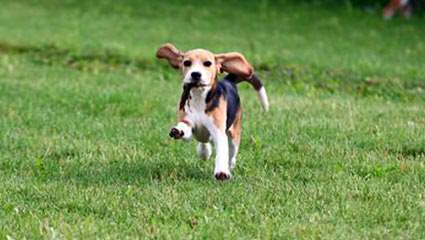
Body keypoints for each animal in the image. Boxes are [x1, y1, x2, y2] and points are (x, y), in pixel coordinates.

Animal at [156, 43, 268, 180]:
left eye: (207, 63)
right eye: (187, 62)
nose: (195, 74)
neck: (199, 97)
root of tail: (228, 81)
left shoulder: (218, 131)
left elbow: (222, 153)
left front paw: (222, 172)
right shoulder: (188, 121)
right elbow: (185, 128)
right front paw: (178, 130)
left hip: (234, 134)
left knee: (231, 154)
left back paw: (229, 166)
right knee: (204, 142)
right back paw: (204, 152)